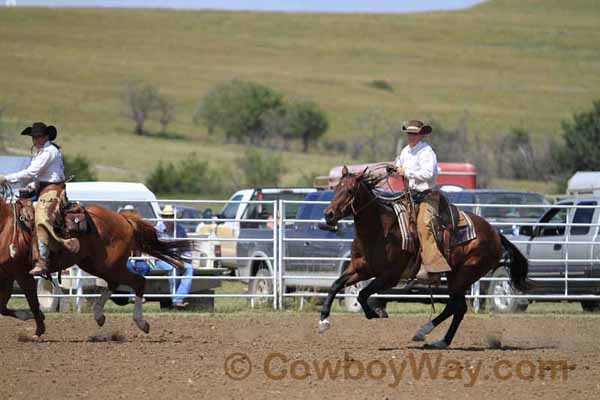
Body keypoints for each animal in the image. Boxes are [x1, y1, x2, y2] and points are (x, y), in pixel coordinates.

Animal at [0, 184, 192, 338]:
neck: (5, 225)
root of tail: (123, 219)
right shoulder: (7, 275)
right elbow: (3, 306)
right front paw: (29, 318)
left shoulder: (21, 273)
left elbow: (32, 301)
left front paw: (38, 328)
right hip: (96, 265)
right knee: (115, 283)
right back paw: (99, 314)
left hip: (108, 265)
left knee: (138, 281)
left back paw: (141, 322)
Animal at [316, 167, 528, 348]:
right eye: (336, 188)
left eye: (350, 190)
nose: (328, 214)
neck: (380, 231)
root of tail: (495, 233)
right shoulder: (360, 269)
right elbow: (336, 285)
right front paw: (323, 320)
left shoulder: (389, 277)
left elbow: (362, 294)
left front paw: (372, 313)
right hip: (455, 274)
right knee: (458, 308)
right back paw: (440, 340)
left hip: (466, 273)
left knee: (455, 306)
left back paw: (424, 332)